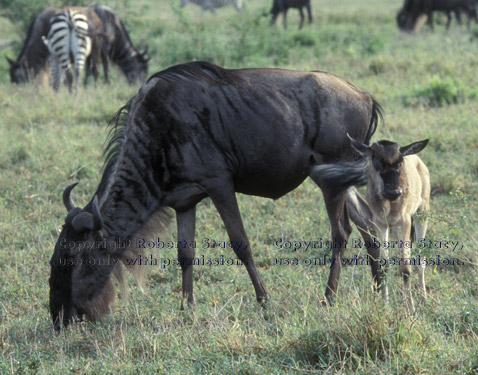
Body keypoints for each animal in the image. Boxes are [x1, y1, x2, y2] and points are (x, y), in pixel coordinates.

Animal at [346, 136, 432, 314]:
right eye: (376, 159)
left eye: (400, 161)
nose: (394, 192)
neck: (390, 205)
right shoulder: (381, 224)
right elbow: (383, 266)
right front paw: (385, 307)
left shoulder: (405, 221)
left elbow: (405, 268)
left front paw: (411, 310)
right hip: (396, 229)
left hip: (422, 214)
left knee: (420, 259)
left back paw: (424, 298)